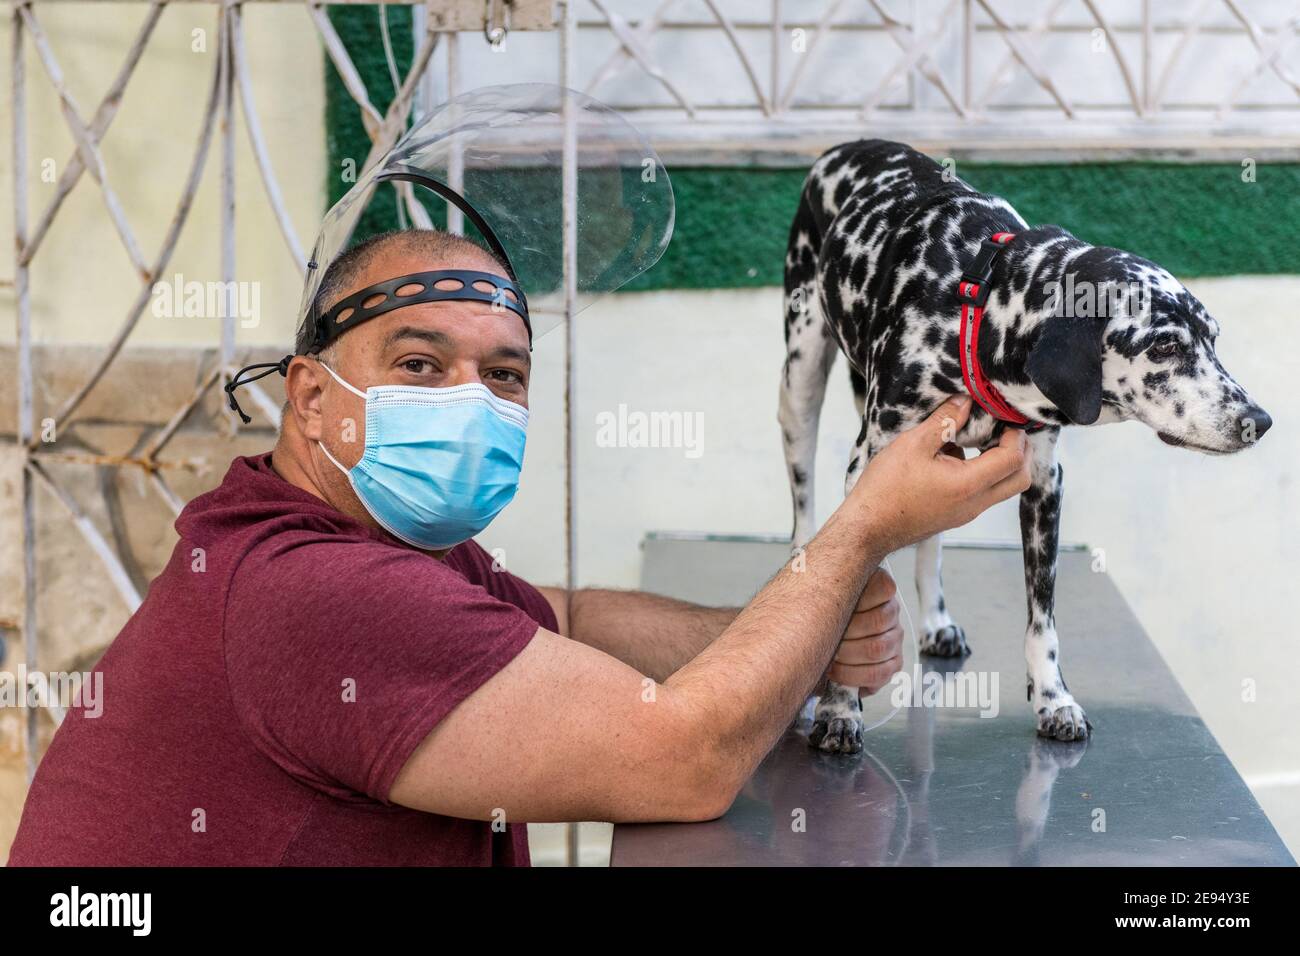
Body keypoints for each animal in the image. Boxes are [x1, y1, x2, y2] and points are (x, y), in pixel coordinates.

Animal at [780, 141, 1268, 754]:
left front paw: (1053, 700)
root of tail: (850, 148)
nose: (1259, 421)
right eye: (1164, 345)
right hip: (800, 384)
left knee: (928, 543)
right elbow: (860, 604)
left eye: (1212, 339)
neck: (977, 307)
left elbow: (1043, 623)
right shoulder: (868, 471)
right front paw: (840, 706)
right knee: (804, 511)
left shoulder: (1042, 486)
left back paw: (935, 620)